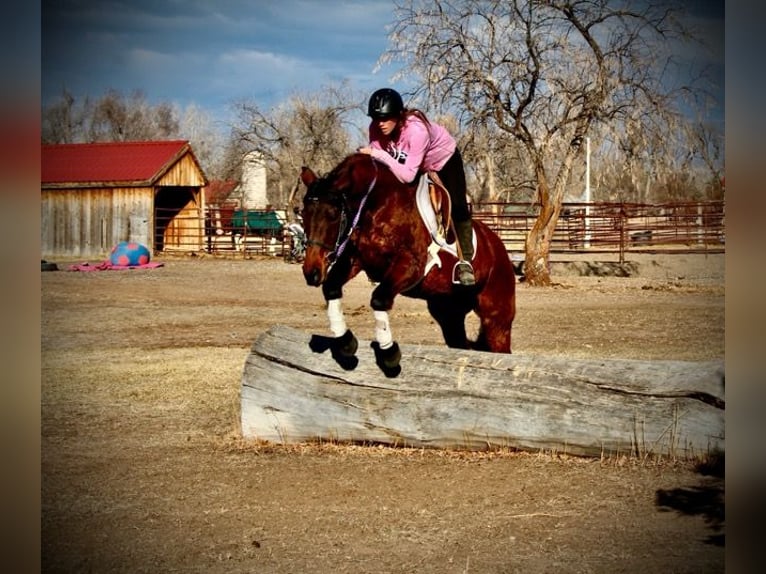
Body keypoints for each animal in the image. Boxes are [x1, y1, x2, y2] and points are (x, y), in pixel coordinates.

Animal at [300, 153, 516, 378]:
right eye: (303, 213)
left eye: (333, 215)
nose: (311, 272)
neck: (376, 204)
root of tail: (498, 246)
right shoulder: (356, 260)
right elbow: (331, 288)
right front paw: (346, 343)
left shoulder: (411, 266)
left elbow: (379, 299)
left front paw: (390, 354)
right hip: (449, 314)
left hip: (496, 318)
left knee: (502, 348)